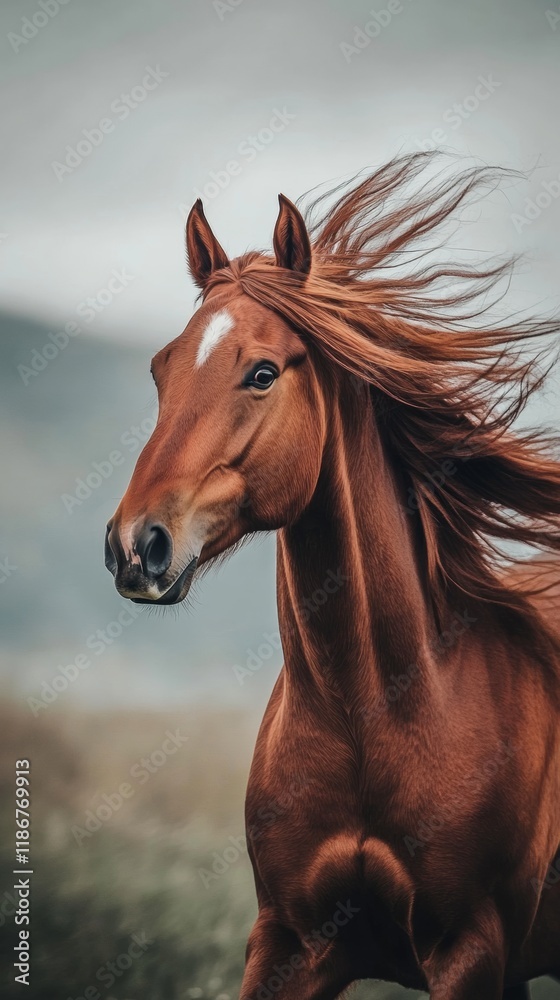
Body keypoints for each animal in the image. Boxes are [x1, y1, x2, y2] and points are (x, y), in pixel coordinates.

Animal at [105, 152, 560, 999]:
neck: (376, 711)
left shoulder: (472, 950)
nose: (134, 546)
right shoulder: (287, 941)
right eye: (159, 370)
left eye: (261, 373)